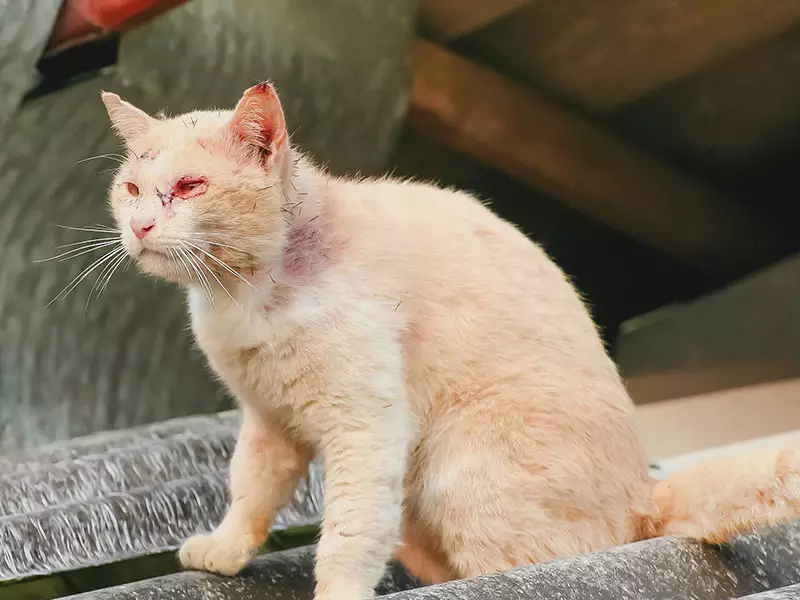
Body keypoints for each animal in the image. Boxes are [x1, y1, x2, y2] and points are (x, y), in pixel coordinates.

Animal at [100, 84, 800, 600]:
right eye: (132, 190)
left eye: (189, 187)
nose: (140, 226)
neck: (242, 296)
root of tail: (644, 491)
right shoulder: (268, 422)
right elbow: (249, 490)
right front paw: (223, 550)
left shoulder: (365, 427)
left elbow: (346, 534)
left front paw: (336, 590)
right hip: (415, 506)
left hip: (462, 474)